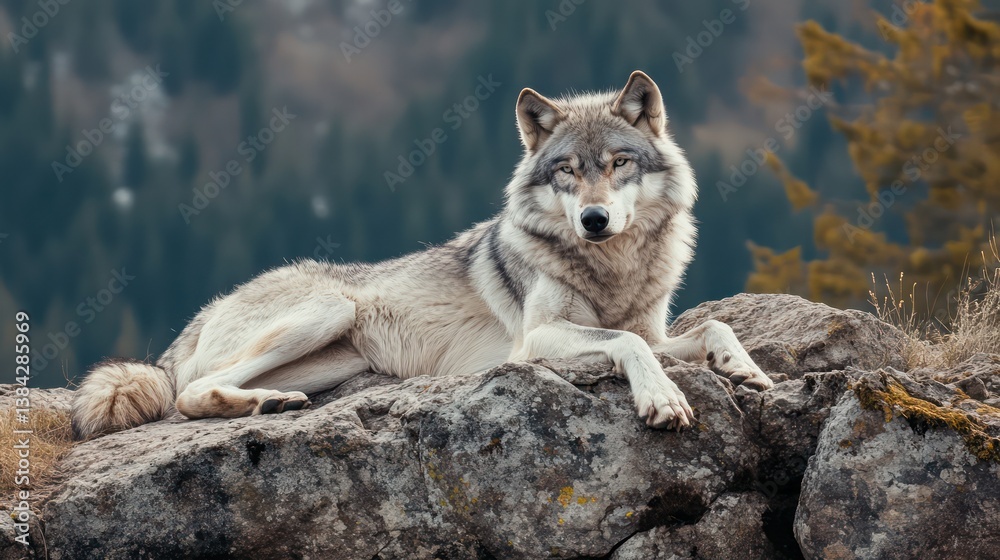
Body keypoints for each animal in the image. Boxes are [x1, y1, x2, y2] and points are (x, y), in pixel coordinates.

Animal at [71, 71, 773, 440]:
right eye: (567, 171)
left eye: (619, 163)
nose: (594, 220)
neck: (613, 269)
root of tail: (201, 314)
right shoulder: (537, 339)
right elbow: (626, 345)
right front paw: (664, 400)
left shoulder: (653, 328)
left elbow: (713, 324)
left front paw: (744, 370)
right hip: (326, 311)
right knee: (188, 394)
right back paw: (255, 408)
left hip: (337, 362)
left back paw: (268, 405)